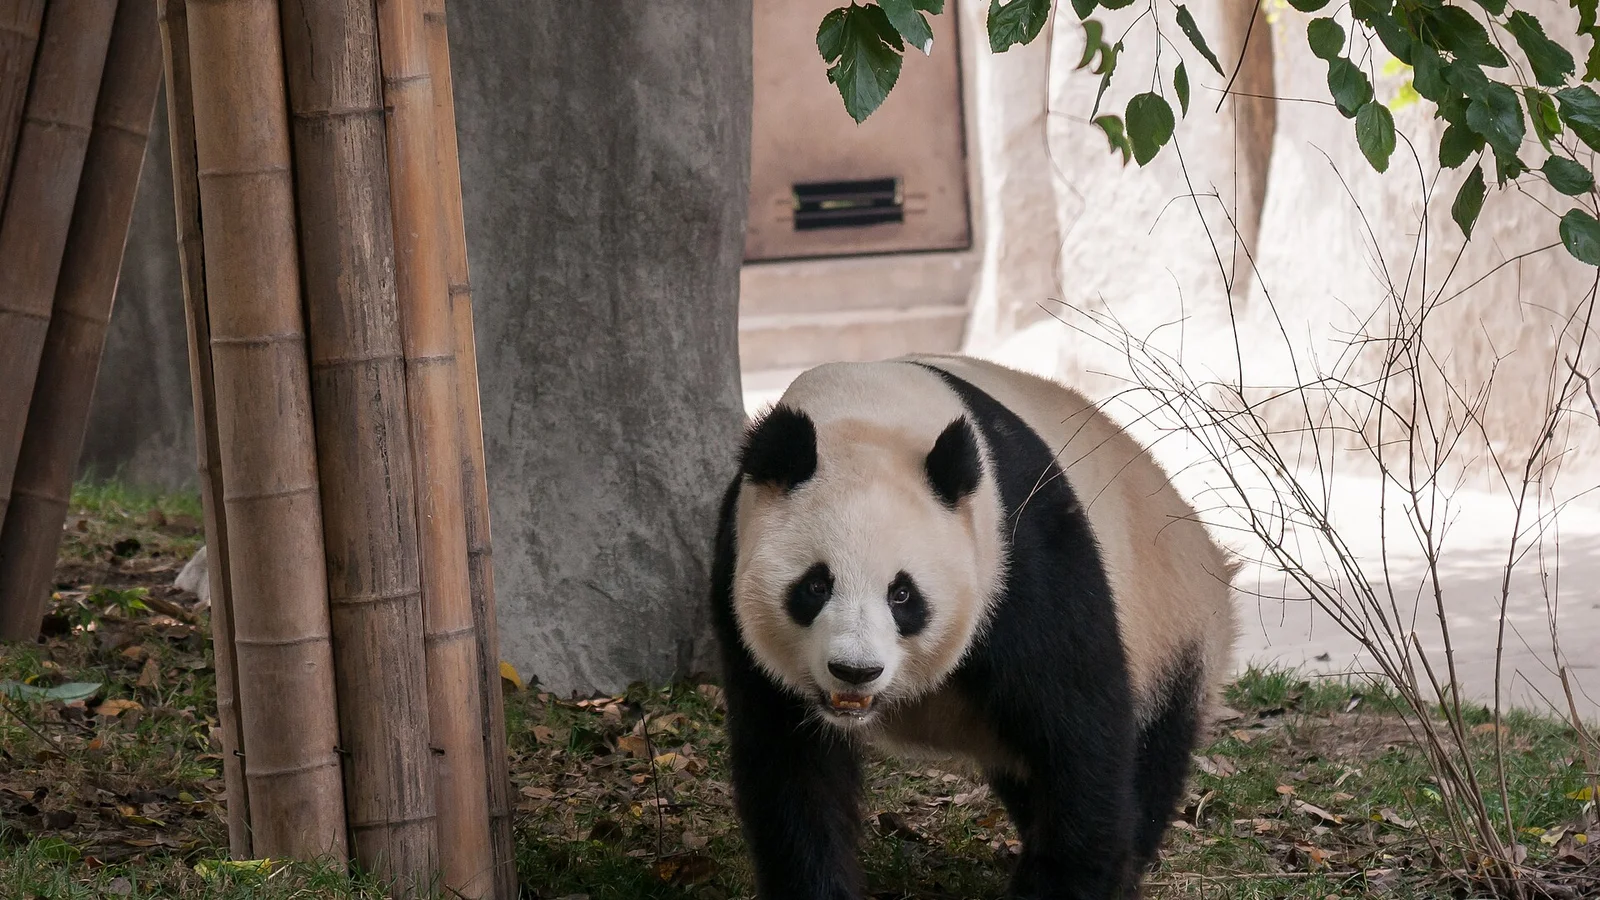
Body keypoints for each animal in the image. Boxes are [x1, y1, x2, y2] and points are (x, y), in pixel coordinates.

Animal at [707, 354, 1238, 900]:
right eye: (815, 585)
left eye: (902, 594)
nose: (855, 671)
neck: (866, 412)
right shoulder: (734, 569)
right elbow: (794, 771)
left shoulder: (1021, 554)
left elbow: (1079, 736)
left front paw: (1062, 885)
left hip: (1173, 632)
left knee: (1151, 755)